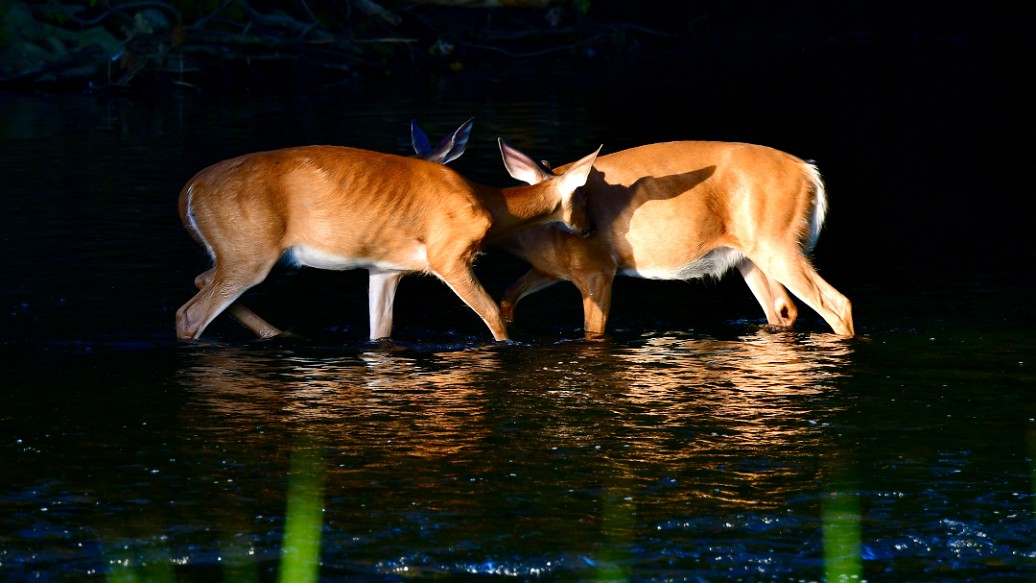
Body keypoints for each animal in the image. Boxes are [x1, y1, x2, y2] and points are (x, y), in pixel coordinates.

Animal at [495, 140, 857, 337]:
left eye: (584, 197)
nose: (590, 228)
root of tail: (808, 172)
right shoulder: (550, 268)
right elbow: (506, 298)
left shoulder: (596, 269)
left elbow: (592, 330)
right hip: (750, 255)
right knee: (783, 309)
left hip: (776, 241)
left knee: (838, 304)